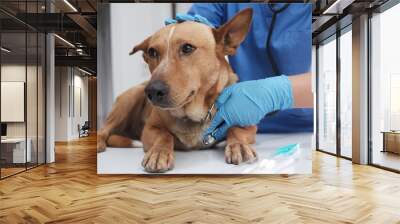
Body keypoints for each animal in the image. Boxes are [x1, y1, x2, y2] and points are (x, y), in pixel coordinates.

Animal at [98, 8, 258, 172]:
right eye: (152, 52)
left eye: (187, 48)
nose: (152, 91)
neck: (191, 115)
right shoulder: (149, 130)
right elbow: (164, 135)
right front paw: (159, 152)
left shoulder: (249, 126)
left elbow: (236, 130)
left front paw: (238, 145)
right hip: (130, 97)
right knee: (104, 130)